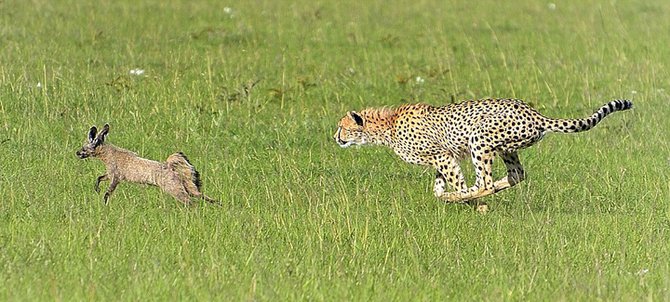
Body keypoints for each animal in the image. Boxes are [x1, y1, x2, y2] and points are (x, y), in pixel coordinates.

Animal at [336, 98, 636, 208]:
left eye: (342, 127)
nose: (335, 137)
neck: (386, 126)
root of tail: (535, 113)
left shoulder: (442, 156)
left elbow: (458, 183)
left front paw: (466, 202)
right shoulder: (443, 157)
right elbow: (437, 186)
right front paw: (447, 196)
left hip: (479, 138)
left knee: (486, 182)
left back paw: (466, 197)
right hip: (506, 148)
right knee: (516, 175)